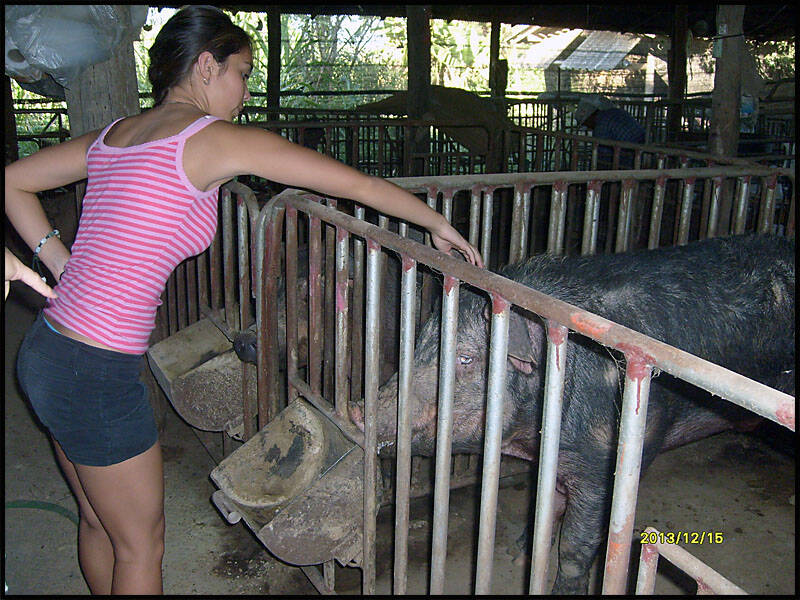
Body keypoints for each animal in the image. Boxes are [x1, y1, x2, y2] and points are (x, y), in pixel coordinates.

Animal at [350, 233, 795, 594]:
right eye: (419, 342)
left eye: (465, 358)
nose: (358, 411)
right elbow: (544, 503)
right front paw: (519, 555)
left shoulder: (602, 463)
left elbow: (577, 546)